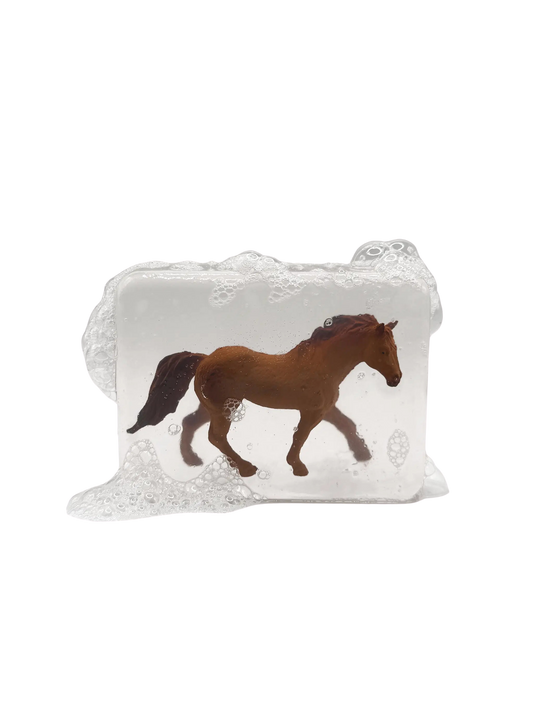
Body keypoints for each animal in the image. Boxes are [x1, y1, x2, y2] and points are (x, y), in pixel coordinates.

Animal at [127, 314, 402, 478]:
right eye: (383, 351)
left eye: (395, 348)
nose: (396, 379)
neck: (322, 364)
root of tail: (204, 359)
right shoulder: (312, 412)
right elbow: (301, 436)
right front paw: (297, 467)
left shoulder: (325, 409)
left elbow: (347, 424)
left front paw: (362, 454)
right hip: (225, 408)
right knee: (216, 437)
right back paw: (245, 467)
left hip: (212, 408)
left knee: (190, 423)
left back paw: (193, 460)